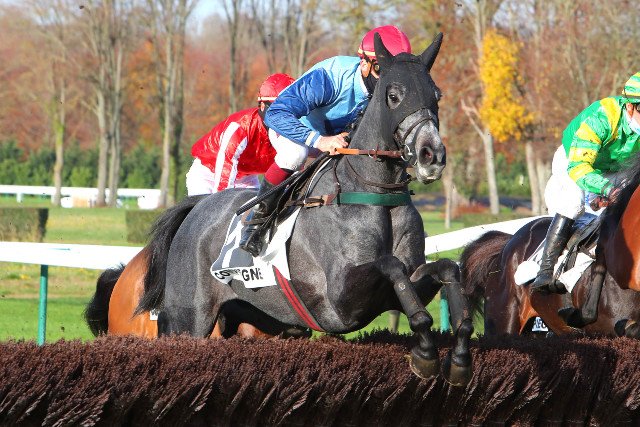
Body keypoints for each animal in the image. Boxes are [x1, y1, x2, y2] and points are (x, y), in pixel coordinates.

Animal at [116, 33, 475, 385]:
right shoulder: (340, 302)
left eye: (436, 95)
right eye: (394, 95)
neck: (373, 192)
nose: (432, 155)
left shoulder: (398, 286)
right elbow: (391, 265)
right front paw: (426, 353)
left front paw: (458, 354)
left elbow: (445, 269)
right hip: (187, 319)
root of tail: (196, 206)